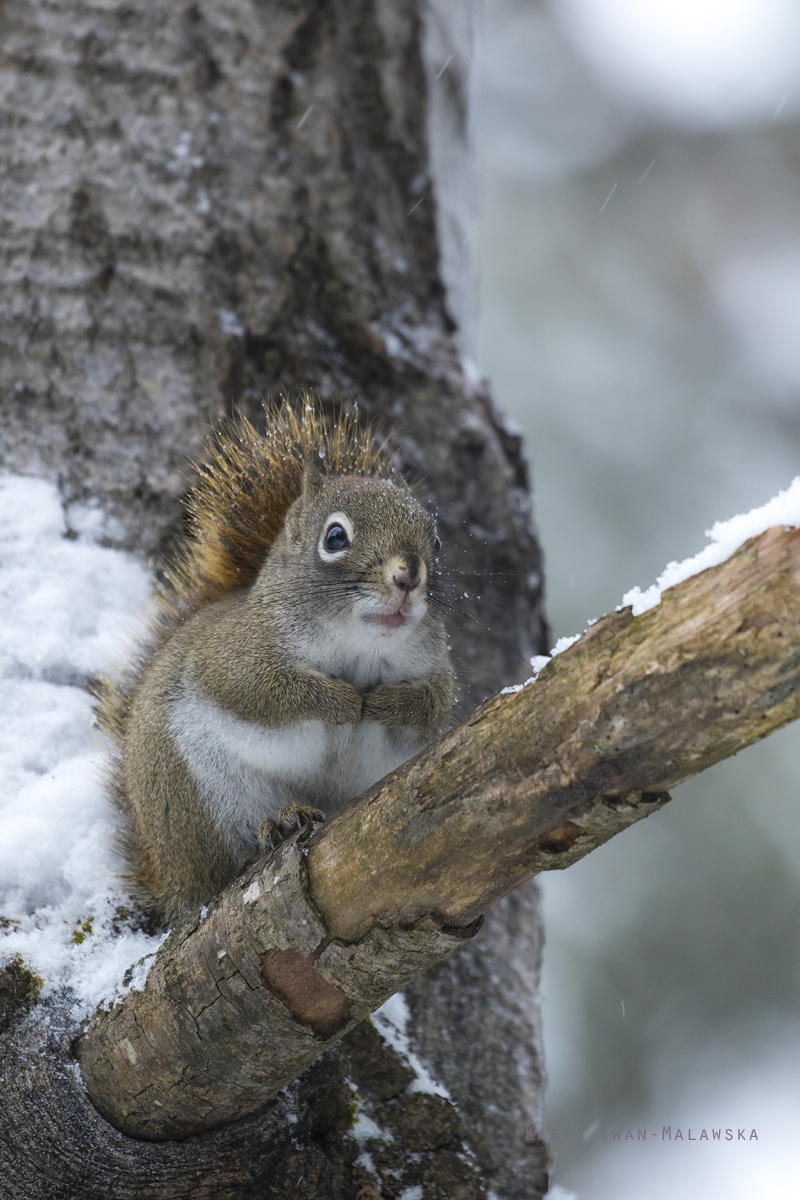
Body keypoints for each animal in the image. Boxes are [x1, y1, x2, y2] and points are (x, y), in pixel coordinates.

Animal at [97, 403, 453, 926]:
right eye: (335, 537)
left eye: (437, 542)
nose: (408, 575)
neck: (362, 646)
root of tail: (170, 877)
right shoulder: (233, 656)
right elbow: (265, 692)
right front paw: (341, 700)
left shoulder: (436, 666)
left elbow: (433, 706)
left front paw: (391, 703)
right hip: (201, 797)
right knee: (221, 869)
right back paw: (281, 824)